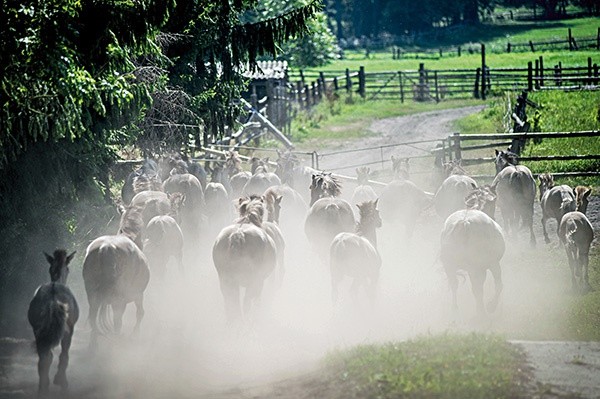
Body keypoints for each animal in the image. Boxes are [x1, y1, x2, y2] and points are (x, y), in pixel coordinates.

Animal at [28, 250, 78, 394]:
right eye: (68, 269)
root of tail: (53, 298)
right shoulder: (70, 330)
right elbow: (63, 356)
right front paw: (59, 380)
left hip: (38, 332)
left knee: (44, 358)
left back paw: (43, 386)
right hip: (67, 332)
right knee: (62, 355)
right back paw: (61, 381)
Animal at [82, 205, 150, 348]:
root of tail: (105, 247)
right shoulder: (138, 294)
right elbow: (140, 313)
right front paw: (135, 335)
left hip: (91, 293)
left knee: (93, 316)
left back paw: (93, 344)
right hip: (119, 298)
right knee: (117, 321)